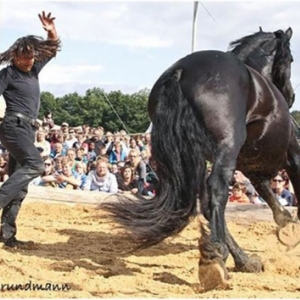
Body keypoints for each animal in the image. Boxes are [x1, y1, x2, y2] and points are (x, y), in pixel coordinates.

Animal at [101, 28, 300, 290]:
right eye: (291, 59)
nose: (291, 96)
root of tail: (181, 71)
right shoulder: (293, 156)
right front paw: (291, 230)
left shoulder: (252, 169)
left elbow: (269, 196)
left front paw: (286, 226)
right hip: (226, 147)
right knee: (215, 192)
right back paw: (217, 258)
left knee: (205, 201)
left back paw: (240, 260)